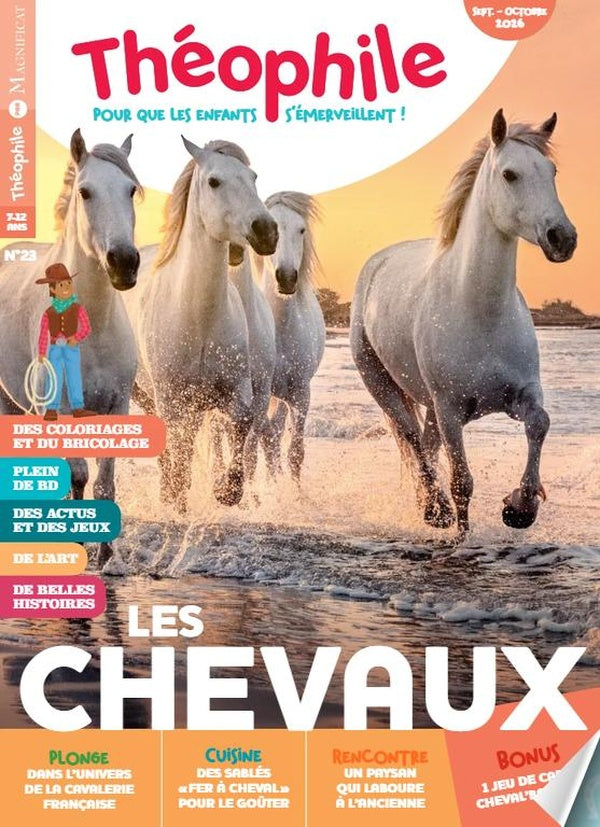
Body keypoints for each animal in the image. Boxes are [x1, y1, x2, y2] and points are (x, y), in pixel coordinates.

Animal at [0, 129, 142, 563]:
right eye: (85, 191)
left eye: (131, 189)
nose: (124, 262)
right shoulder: (61, 408)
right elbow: (77, 476)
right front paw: (78, 543)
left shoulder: (116, 407)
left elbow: (105, 482)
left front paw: (107, 555)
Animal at [125, 138, 278, 514]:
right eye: (213, 181)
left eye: (253, 177)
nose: (266, 231)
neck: (200, 318)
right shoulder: (170, 397)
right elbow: (177, 448)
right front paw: (178, 495)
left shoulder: (237, 390)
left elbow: (241, 424)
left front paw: (227, 490)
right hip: (147, 394)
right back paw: (169, 493)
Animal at [351, 109, 577, 541]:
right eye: (509, 174)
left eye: (553, 171)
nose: (563, 238)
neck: (480, 312)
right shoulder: (451, 409)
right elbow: (462, 482)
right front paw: (461, 536)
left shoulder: (522, 394)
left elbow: (540, 423)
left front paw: (520, 507)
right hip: (384, 386)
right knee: (413, 440)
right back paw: (434, 509)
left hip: (430, 405)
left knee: (426, 443)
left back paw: (428, 505)